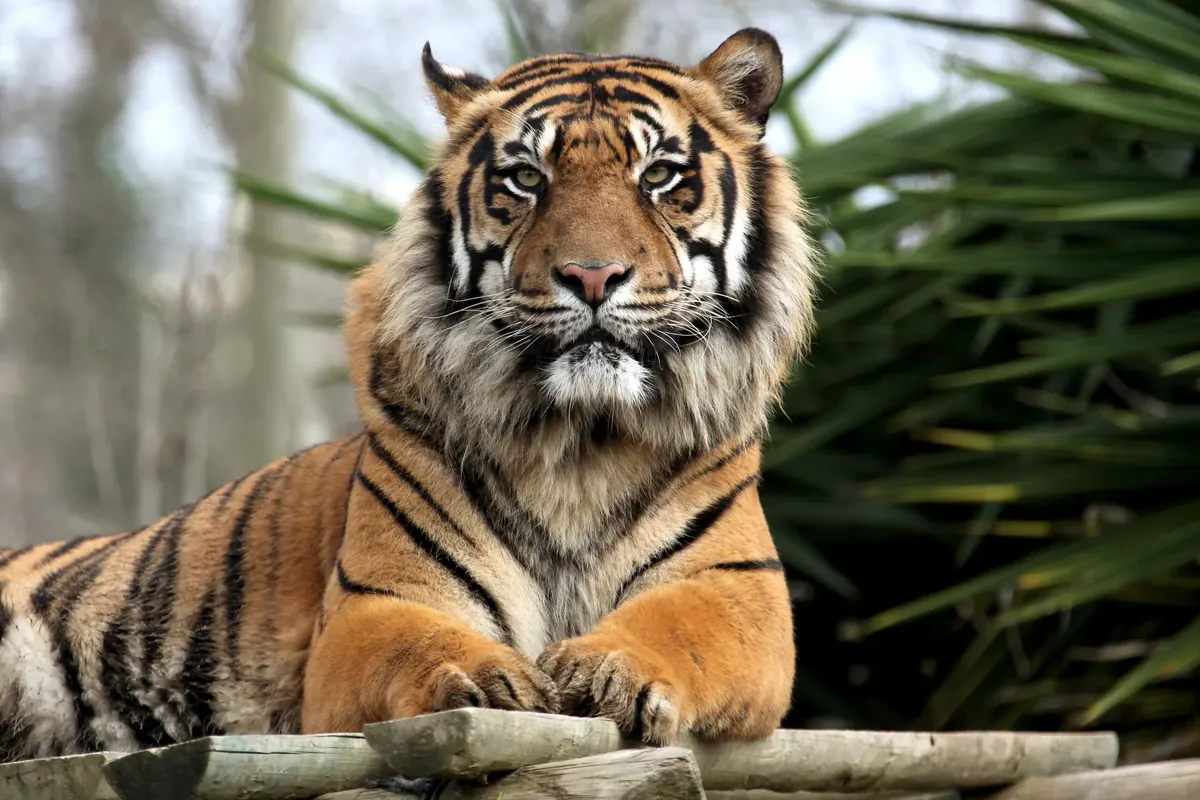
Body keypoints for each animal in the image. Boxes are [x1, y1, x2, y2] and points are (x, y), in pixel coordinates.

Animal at [0, 26, 817, 763]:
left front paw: (607, 669)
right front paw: (489, 682)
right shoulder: (377, 603)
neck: (580, 441)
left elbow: (677, 625)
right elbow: (418, 644)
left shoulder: (737, 590)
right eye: (526, 179)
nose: (591, 276)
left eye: (659, 176)